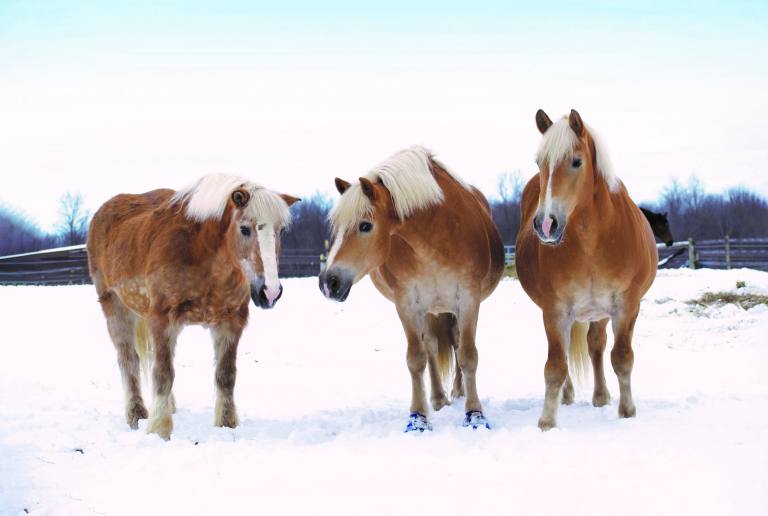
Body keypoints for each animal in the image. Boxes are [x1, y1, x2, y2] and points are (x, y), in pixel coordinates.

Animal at [87, 174, 296, 440]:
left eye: (281, 230)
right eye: (245, 229)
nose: (269, 291)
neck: (199, 250)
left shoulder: (230, 322)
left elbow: (226, 375)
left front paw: (226, 424)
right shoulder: (163, 321)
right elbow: (164, 373)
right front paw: (159, 429)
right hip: (115, 307)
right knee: (129, 360)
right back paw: (137, 415)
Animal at [318, 145, 504, 432]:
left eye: (365, 225)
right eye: (335, 228)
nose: (329, 282)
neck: (435, 239)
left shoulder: (468, 300)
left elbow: (468, 355)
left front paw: (474, 414)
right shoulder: (407, 304)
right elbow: (416, 359)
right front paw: (418, 418)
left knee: (456, 343)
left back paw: (458, 393)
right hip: (428, 311)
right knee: (431, 347)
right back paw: (437, 399)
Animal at [516, 111, 656, 430]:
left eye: (576, 161)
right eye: (539, 162)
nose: (546, 224)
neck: (593, 241)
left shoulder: (626, 307)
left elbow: (621, 357)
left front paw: (627, 411)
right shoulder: (555, 310)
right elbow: (555, 365)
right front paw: (547, 421)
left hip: (601, 313)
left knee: (596, 346)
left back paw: (601, 396)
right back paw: (568, 396)